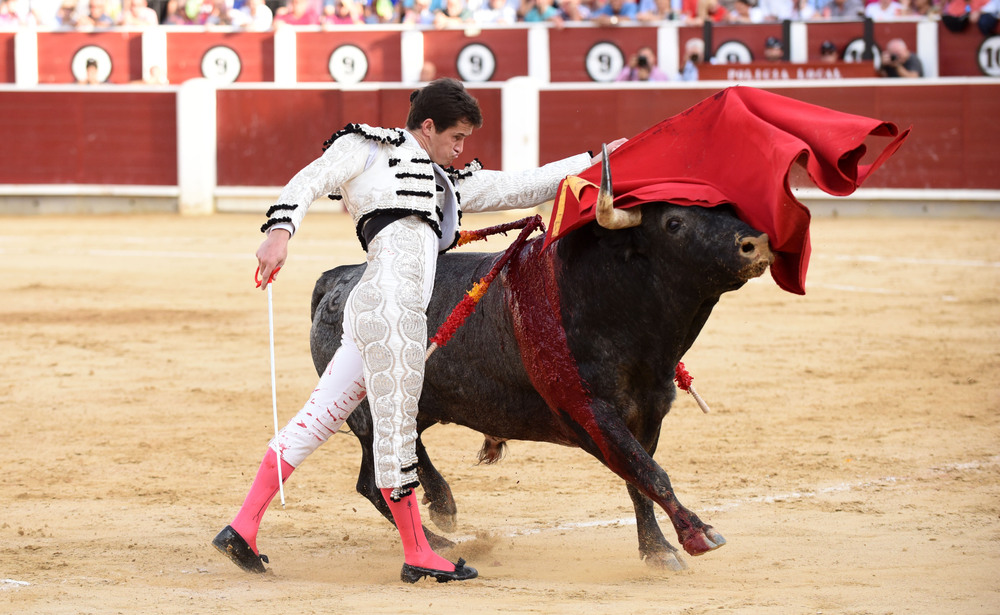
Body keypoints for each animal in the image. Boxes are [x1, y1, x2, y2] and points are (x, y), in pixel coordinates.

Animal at [308, 205, 776, 572]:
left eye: (728, 210)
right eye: (674, 222)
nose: (755, 243)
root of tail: (340, 277)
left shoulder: (648, 413)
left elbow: (639, 476)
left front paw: (657, 551)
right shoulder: (588, 414)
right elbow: (649, 473)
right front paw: (698, 533)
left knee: (397, 462)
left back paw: (443, 512)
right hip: (372, 411)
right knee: (381, 479)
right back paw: (438, 535)